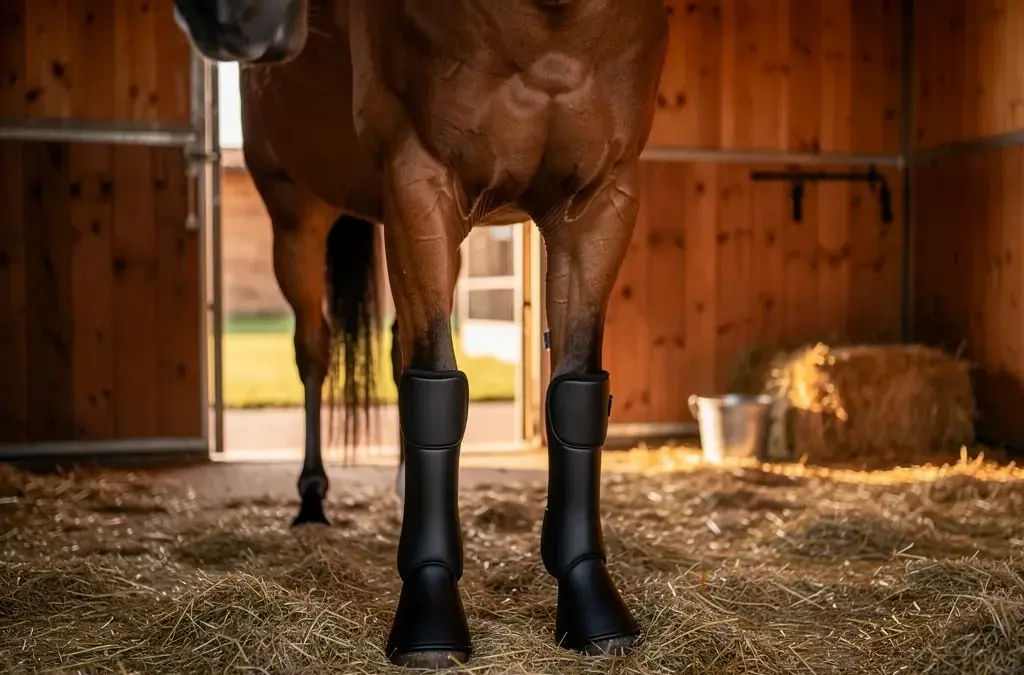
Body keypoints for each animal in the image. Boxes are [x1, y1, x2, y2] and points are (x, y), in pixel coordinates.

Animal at [172, 0, 669, 668]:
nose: (223, 17)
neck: (552, 25)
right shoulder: (419, 182)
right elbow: (436, 391)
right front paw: (428, 621)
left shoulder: (601, 200)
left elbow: (576, 397)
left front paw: (594, 611)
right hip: (298, 214)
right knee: (314, 353)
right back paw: (312, 501)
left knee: (396, 347)